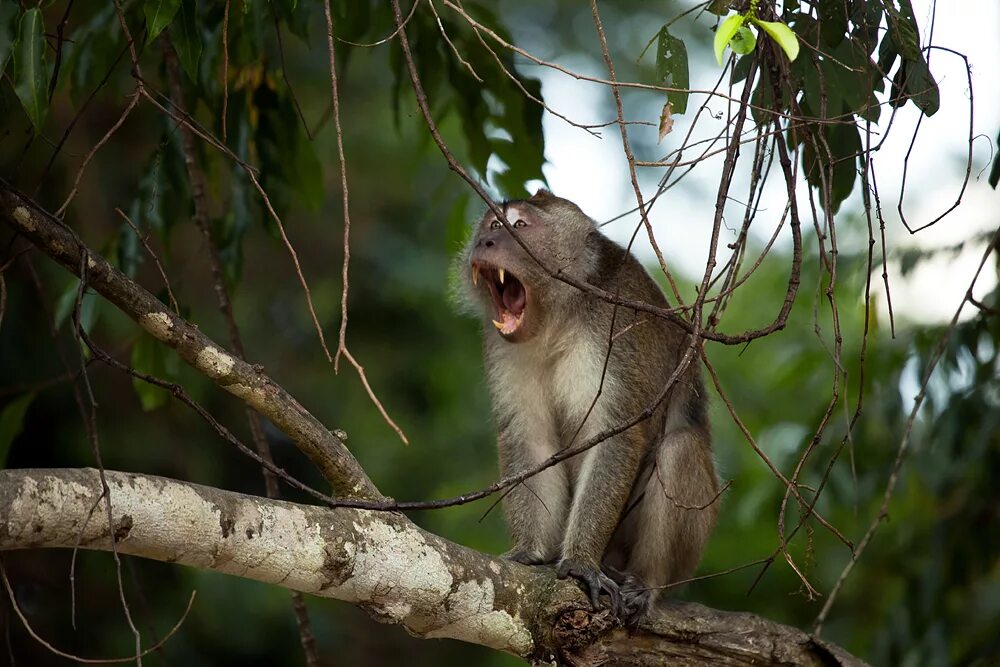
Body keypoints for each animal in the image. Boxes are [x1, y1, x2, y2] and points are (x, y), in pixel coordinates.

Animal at [458, 188, 724, 620]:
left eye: (519, 225)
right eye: (493, 225)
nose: (486, 242)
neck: (559, 316)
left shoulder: (615, 327)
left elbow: (615, 435)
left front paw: (581, 562)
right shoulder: (500, 346)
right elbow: (530, 438)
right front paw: (530, 552)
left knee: (680, 447)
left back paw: (646, 583)